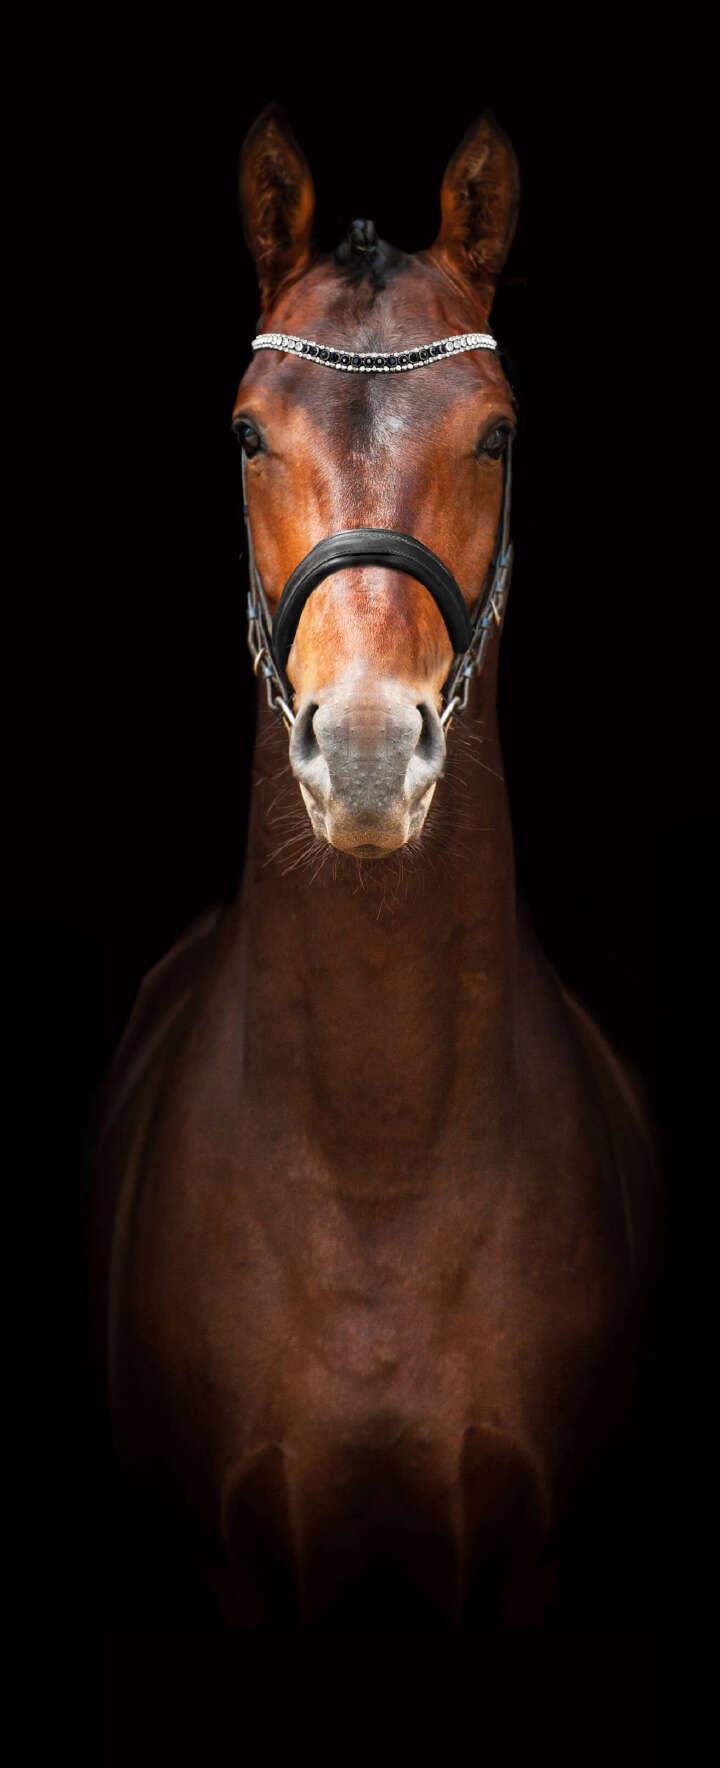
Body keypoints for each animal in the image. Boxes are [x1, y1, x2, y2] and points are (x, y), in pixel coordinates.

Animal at [92, 104, 663, 1626]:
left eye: (498, 435)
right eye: (246, 432)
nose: (359, 754)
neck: (375, 1181)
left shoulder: (530, 1567)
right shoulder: (230, 1570)